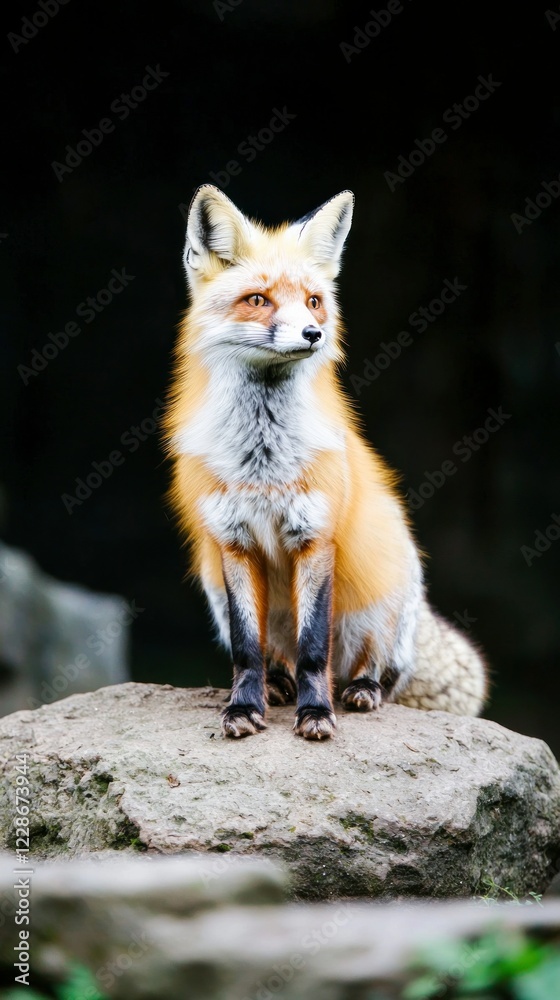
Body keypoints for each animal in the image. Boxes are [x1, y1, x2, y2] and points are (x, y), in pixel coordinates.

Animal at [164, 185, 488, 740]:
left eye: (314, 301)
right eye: (258, 300)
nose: (313, 332)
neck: (263, 461)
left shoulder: (315, 536)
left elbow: (315, 648)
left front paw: (316, 713)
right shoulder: (233, 542)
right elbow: (246, 650)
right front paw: (243, 707)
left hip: (381, 592)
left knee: (375, 667)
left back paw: (361, 689)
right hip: (215, 586)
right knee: (277, 657)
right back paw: (277, 684)